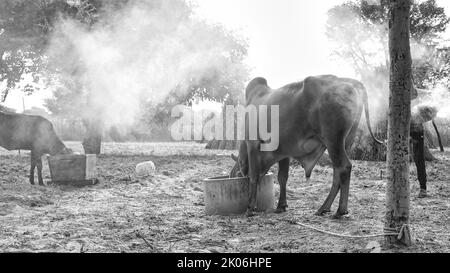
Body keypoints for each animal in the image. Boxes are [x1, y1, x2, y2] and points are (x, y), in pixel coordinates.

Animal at [232, 75, 384, 219]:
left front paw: (250, 208)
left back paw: (340, 210)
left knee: (344, 167)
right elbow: (282, 177)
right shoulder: (283, 152)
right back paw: (324, 208)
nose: (238, 174)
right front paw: (281, 206)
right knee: (337, 171)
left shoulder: (252, 144)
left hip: (333, 141)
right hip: (345, 142)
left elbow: (254, 176)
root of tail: (349, 83)